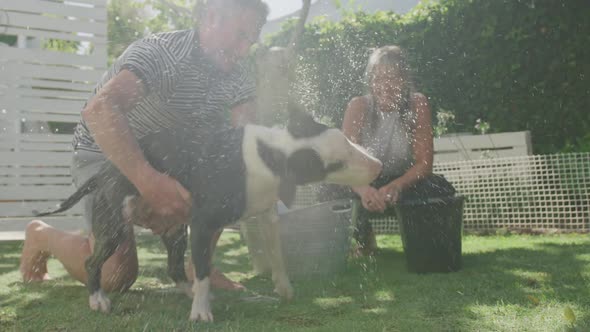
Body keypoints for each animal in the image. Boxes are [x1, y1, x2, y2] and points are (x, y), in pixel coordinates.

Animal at [39, 105, 386, 320]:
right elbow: (205, 268)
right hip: (114, 227)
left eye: (346, 140)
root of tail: (106, 171)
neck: (271, 155)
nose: (378, 165)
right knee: (92, 262)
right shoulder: (203, 224)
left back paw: (187, 290)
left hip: (175, 229)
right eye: (334, 166)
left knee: (175, 266)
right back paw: (98, 298)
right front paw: (201, 311)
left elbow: (276, 255)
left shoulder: (266, 217)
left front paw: (284, 287)